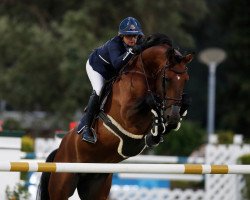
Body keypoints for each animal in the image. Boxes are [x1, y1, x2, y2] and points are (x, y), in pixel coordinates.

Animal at [36, 33, 193, 199]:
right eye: (166, 79)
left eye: (186, 80)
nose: (173, 117)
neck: (143, 74)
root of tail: (60, 150)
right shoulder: (128, 116)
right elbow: (150, 101)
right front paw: (159, 122)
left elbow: (184, 102)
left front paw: (160, 130)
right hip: (63, 182)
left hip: (96, 185)